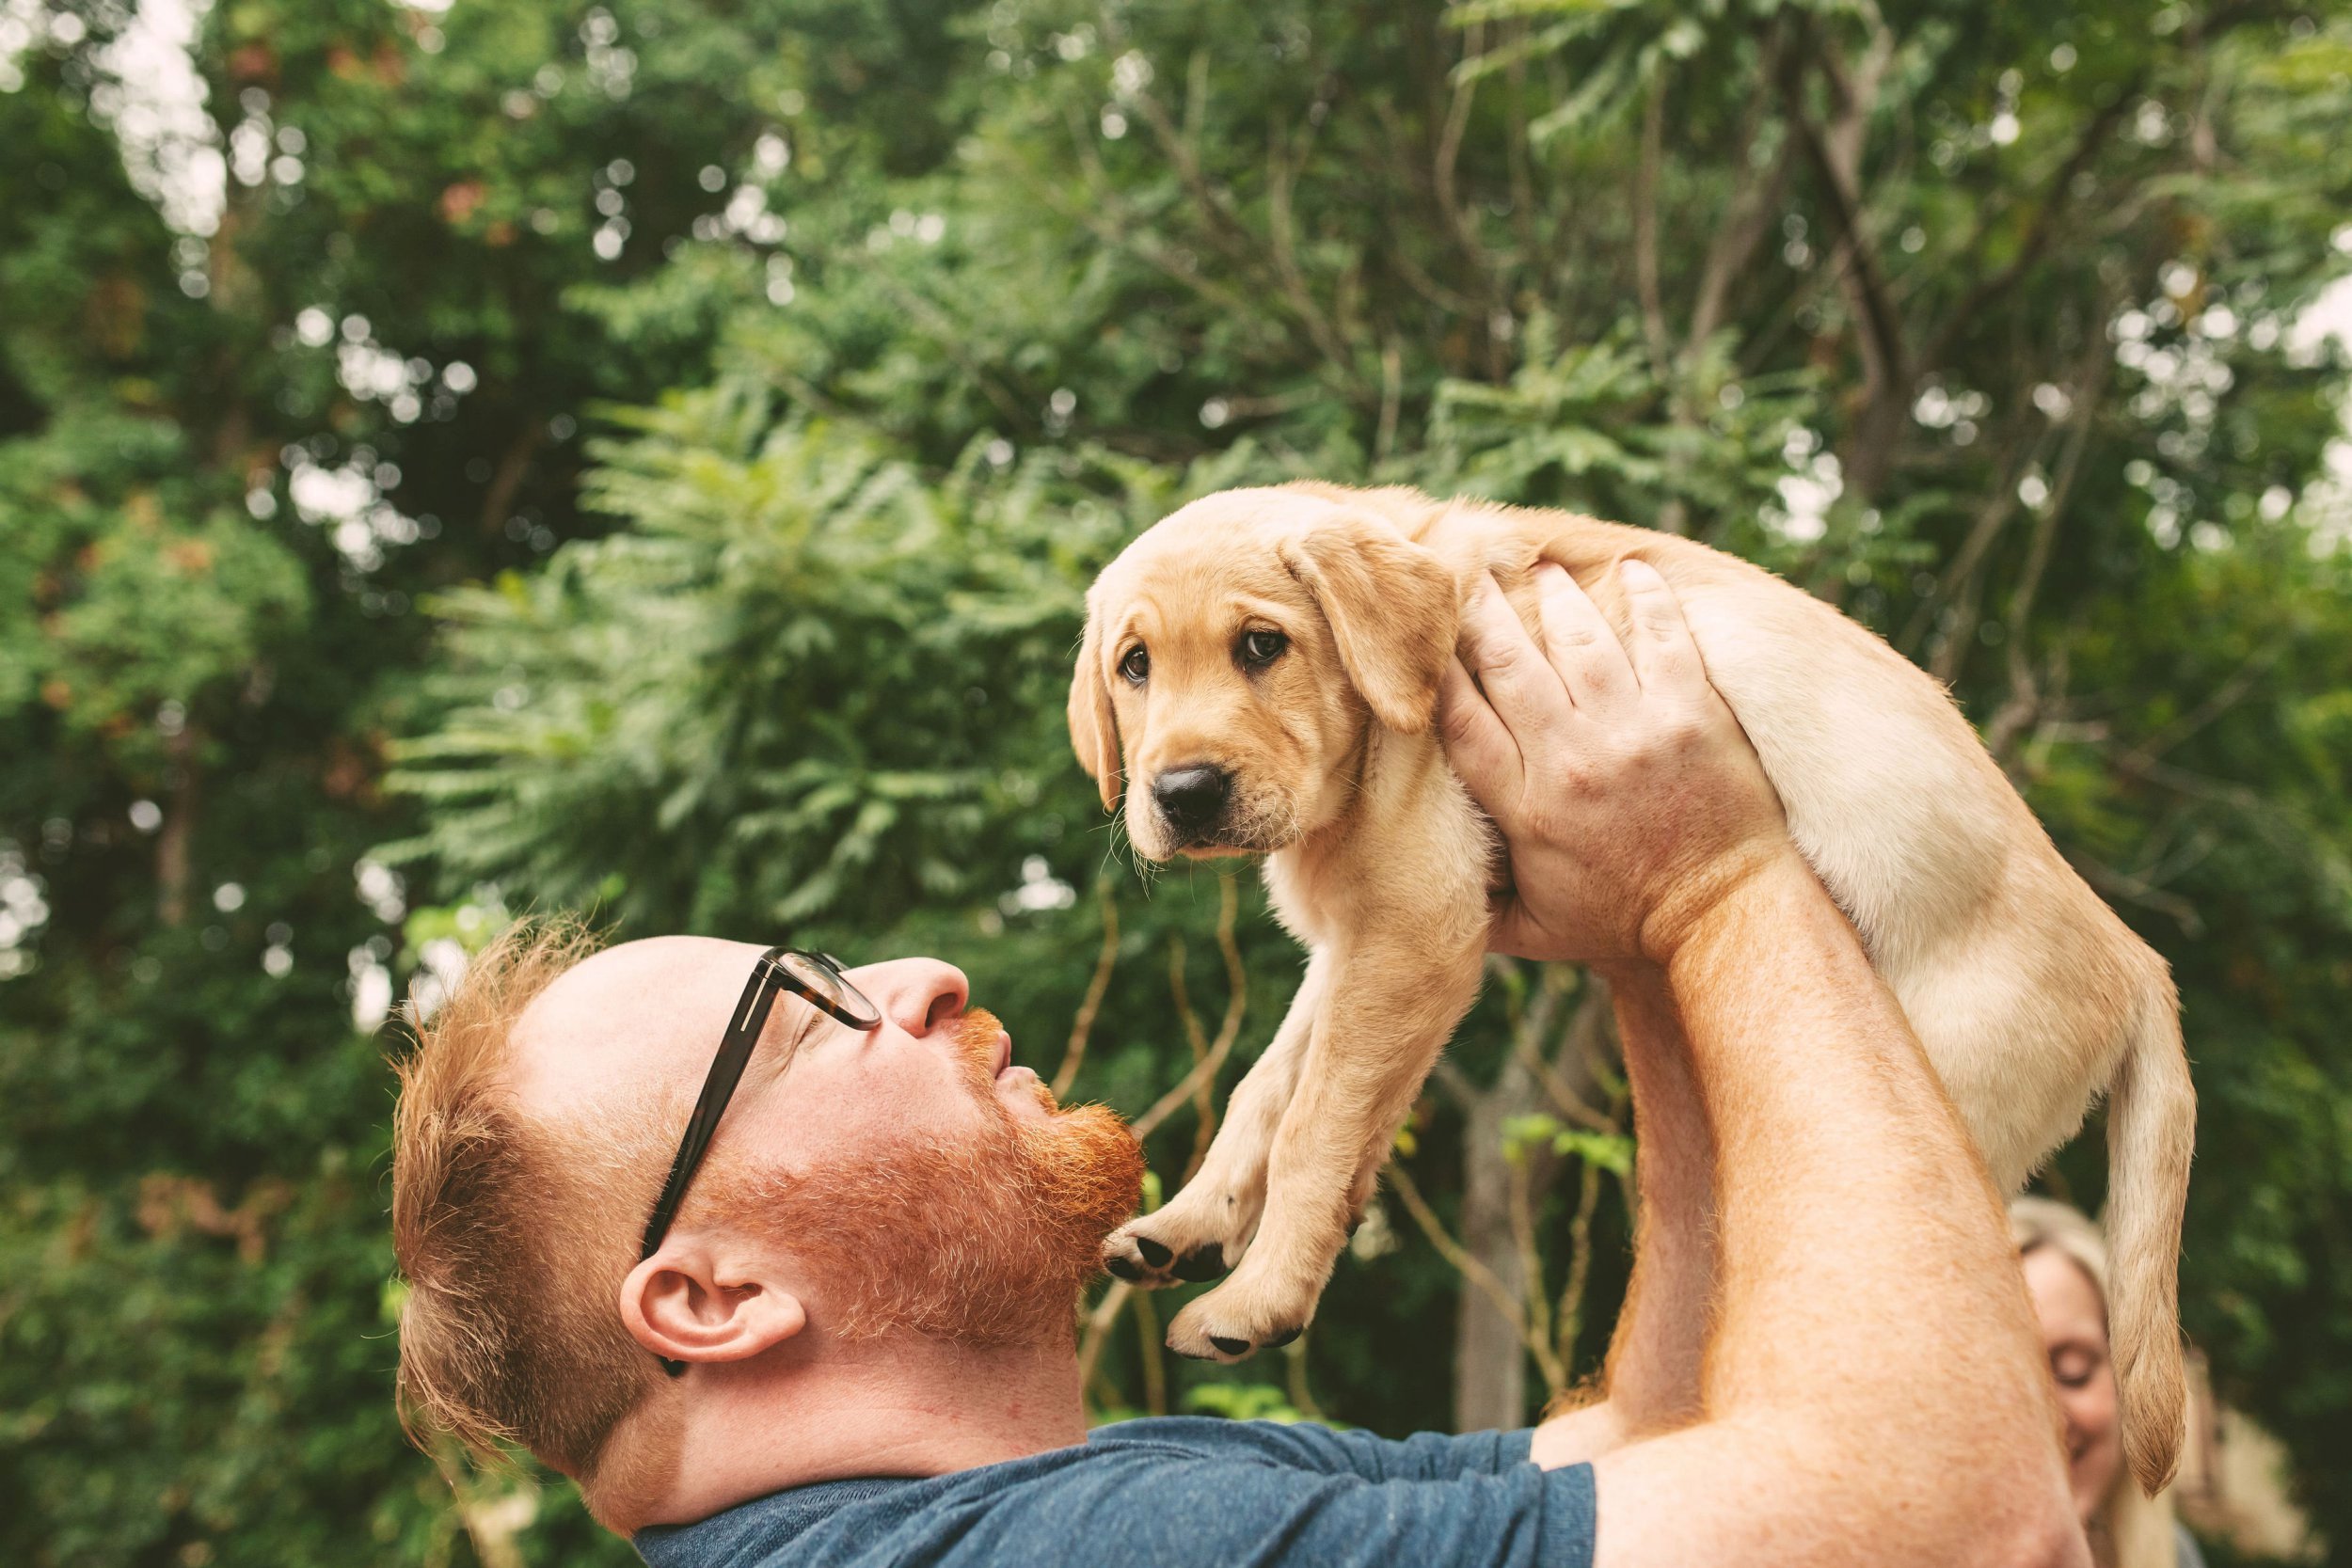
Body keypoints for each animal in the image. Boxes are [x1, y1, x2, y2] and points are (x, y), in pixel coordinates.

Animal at [1077, 479, 2192, 1495]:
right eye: (1135, 666)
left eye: (1262, 645)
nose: (1182, 794)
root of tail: (2135, 960)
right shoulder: (1358, 948)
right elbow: (1267, 1090)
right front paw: (1190, 1220)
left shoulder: (1414, 927)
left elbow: (1315, 1126)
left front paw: (1256, 1296)